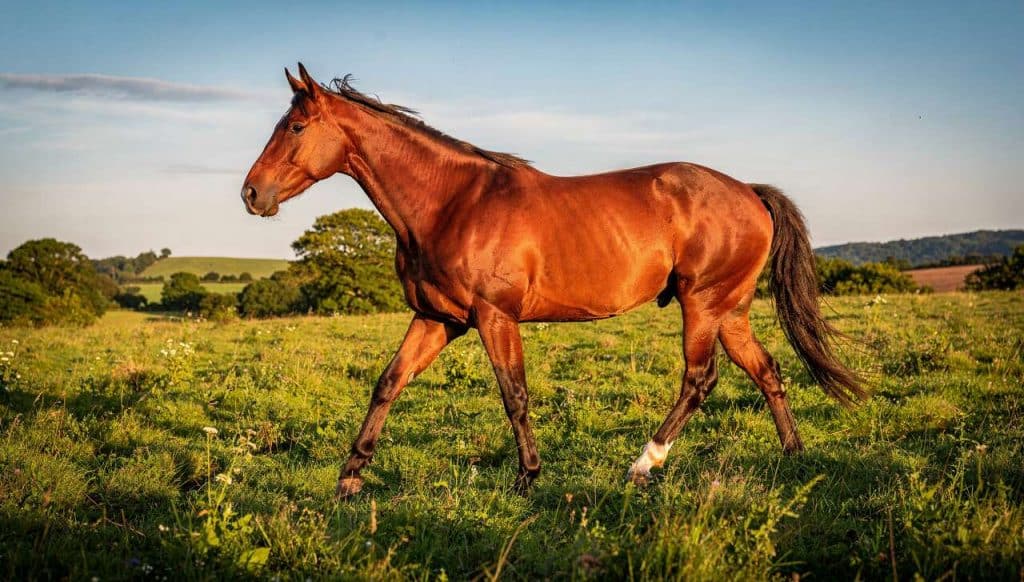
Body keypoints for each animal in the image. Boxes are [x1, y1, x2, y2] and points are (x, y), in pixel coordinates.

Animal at [242, 64, 865, 498]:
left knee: (699, 380)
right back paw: (794, 455)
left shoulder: (495, 317)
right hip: (729, 311)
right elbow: (388, 383)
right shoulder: (437, 319)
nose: (251, 194)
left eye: (295, 127)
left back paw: (643, 465)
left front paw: (527, 478)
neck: (451, 202)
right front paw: (349, 479)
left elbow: (514, 394)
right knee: (767, 371)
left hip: (703, 306)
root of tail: (749, 193)